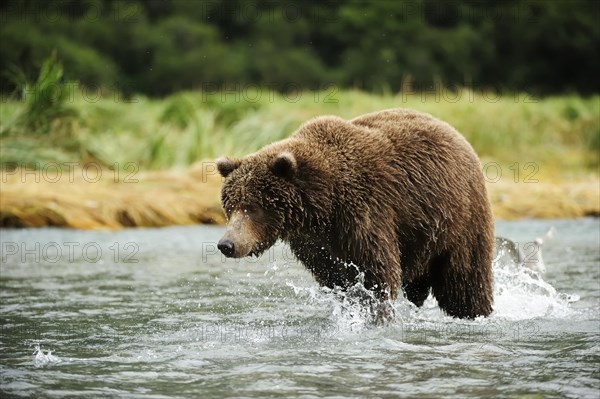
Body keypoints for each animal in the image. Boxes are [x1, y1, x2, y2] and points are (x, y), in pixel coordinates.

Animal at [214, 108, 492, 320]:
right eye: (230, 206)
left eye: (251, 207)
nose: (226, 244)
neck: (322, 207)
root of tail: (459, 137)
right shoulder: (315, 244)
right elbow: (337, 278)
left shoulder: (364, 213)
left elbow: (377, 273)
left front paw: (374, 313)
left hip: (459, 220)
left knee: (464, 280)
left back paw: (474, 312)